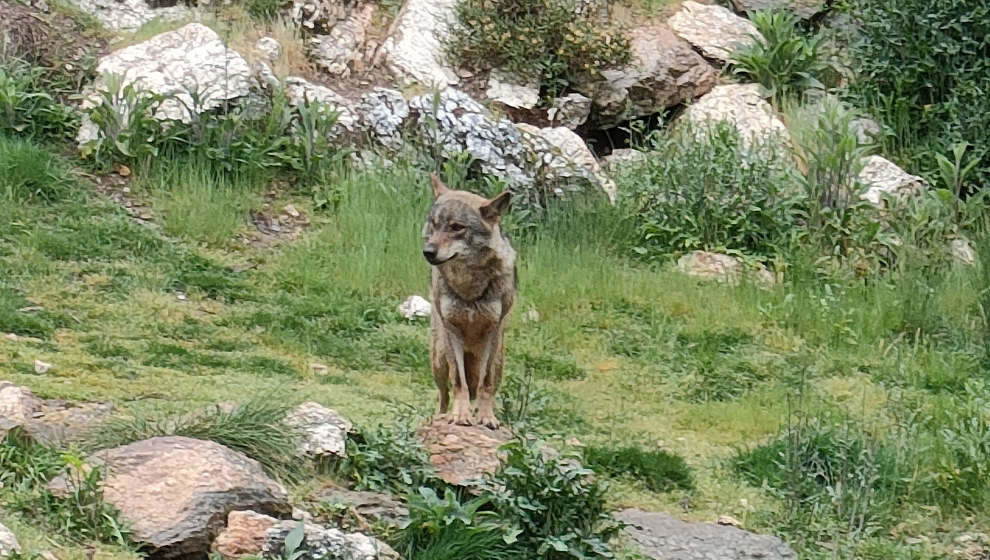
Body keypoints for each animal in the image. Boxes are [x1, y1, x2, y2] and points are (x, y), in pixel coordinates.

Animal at [422, 173, 520, 426]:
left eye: (457, 227)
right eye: (434, 224)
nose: (428, 251)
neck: (469, 286)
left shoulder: (493, 330)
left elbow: (486, 384)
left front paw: (486, 417)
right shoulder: (451, 329)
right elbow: (459, 381)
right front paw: (459, 415)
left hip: (499, 361)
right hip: (438, 358)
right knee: (443, 394)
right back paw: (442, 416)